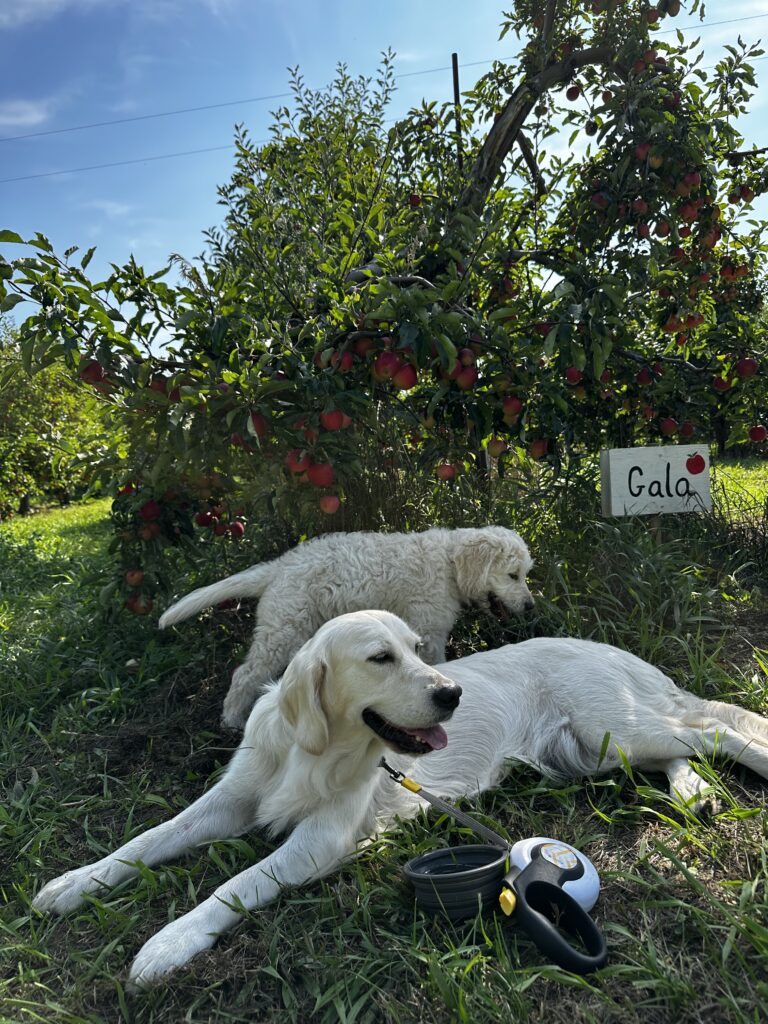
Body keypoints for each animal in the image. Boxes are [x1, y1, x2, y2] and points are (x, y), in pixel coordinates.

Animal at [33, 610, 768, 988]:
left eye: (419, 650)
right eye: (380, 658)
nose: (452, 693)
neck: (314, 750)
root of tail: (606, 646)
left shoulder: (319, 840)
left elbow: (235, 884)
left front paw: (170, 942)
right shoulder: (231, 800)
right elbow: (145, 841)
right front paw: (74, 883)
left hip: (614, 726)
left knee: (719, 729)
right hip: (596, 750)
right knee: (683, 748)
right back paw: (693, 791)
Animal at [159, 525, 535, 728]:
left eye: (525, 574)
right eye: (513, 575)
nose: (531, 607)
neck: (448, 563)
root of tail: (280, 566)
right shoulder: (429, 631)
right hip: (285, 628)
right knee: (245, 675)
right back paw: (232, 720)